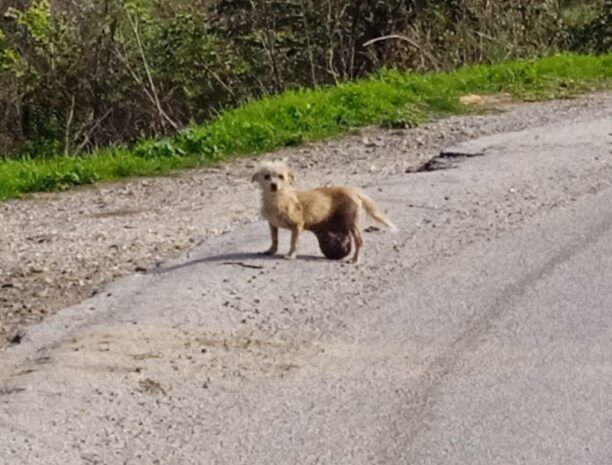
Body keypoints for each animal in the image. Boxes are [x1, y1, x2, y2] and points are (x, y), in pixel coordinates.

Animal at [250, 160, 396, 262]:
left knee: (359, 242)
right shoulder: (272, 225)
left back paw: (355, 260)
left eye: (281, 176)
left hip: (351, 223)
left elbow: (293, 242)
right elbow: (274, 239)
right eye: (266, 176)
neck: (278, 199)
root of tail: (354, 191)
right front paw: (271, 250)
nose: (274, 185)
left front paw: (291, 255)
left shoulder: (297, 225)